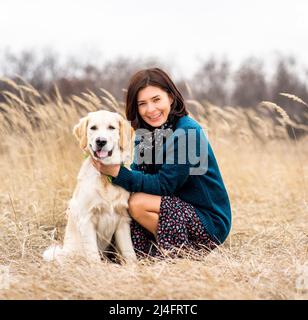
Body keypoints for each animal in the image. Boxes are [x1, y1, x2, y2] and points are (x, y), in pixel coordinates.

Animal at [42, 110, 137, 262]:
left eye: (111, 127)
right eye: (93, 128)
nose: (100, 141)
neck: (106, 176)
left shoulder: (123, 219)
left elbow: (129, 251)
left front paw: (134, 266)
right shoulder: (86, 219)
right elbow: (92, 253)